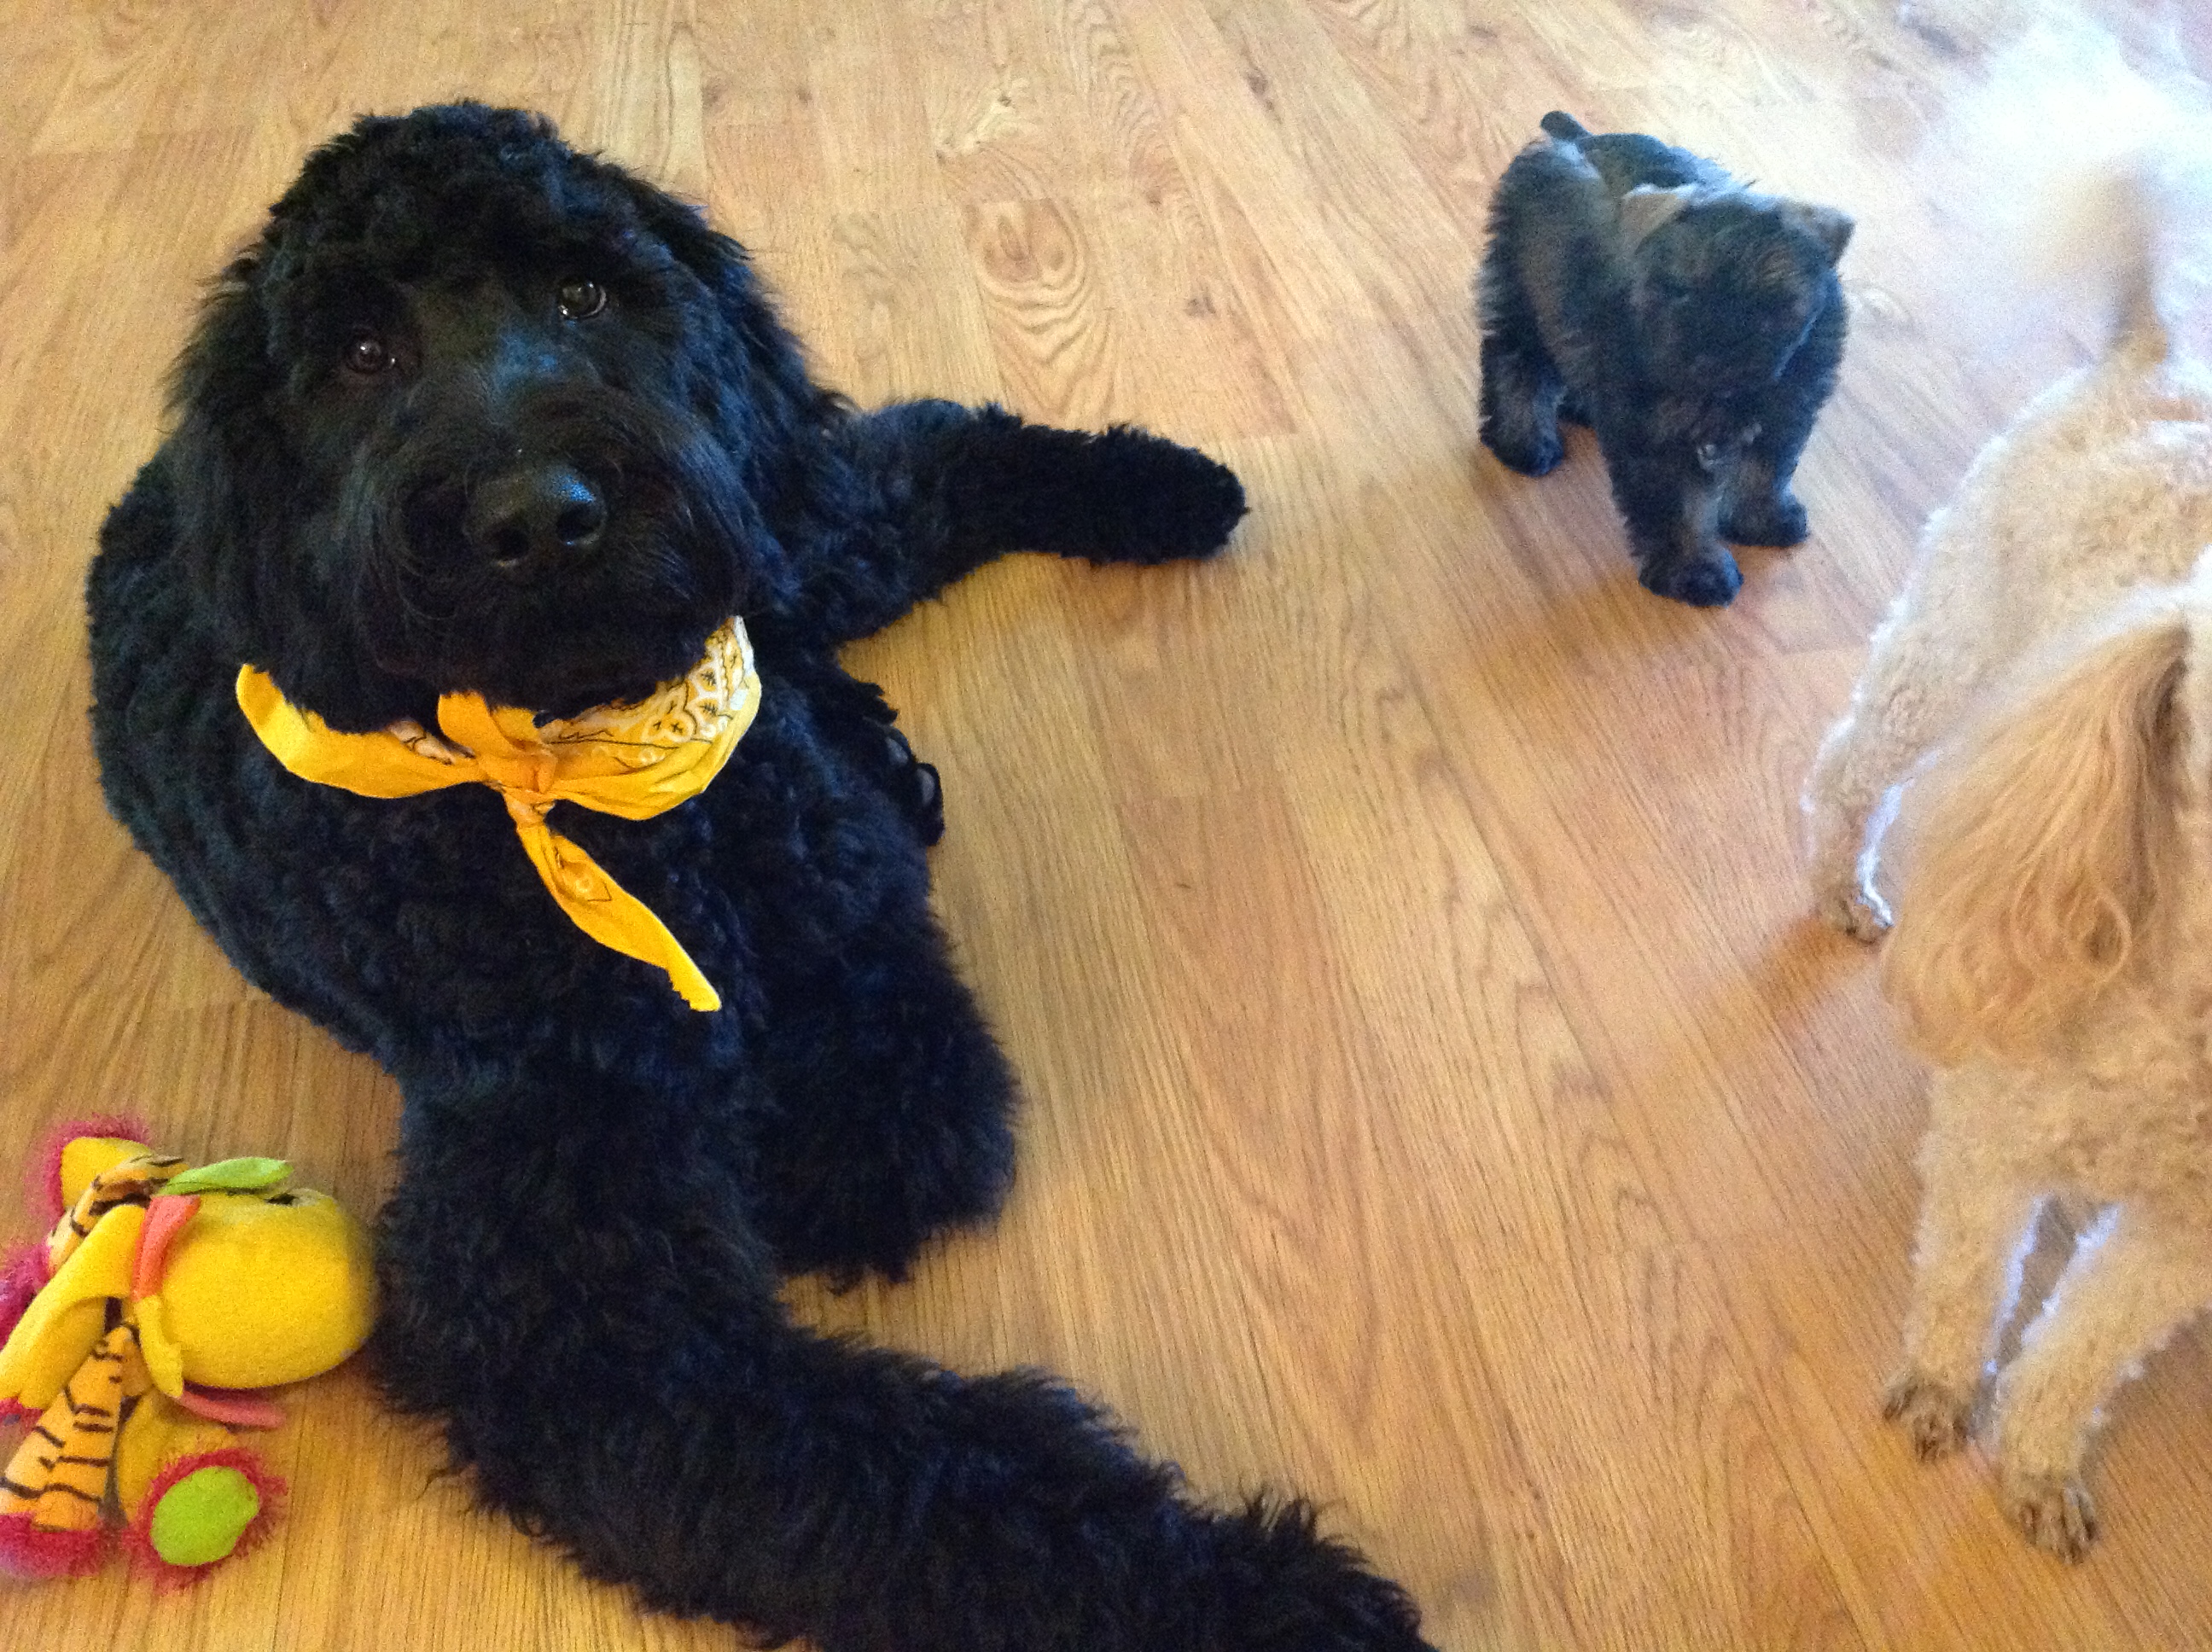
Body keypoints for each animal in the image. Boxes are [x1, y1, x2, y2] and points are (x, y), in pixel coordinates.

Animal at [81, 107, 1433, 1652]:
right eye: (363, 353)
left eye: (584, 292)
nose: (540, 514)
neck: (604, 797)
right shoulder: (575, 1297)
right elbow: (918, 1480)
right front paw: (1255, 1595)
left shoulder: (832, 896)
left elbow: (908, 1078)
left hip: (792, 524)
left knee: (920, 454)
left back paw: (1153, 489)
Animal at [1477, 113, 1858, 610]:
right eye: (1680, 291)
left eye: (1772, 305)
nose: (1714, 360)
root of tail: (1578, 138)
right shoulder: (1657, 435)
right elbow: (1679, 508)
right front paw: (1695, 571)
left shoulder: (1786, 407)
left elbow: (1765, 468)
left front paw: (1761, 519)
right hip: (1526, 294)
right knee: (1516, 362)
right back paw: (1521, 439)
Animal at [1805, 122, 2203, 1556]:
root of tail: (2154, 347)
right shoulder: (1994, 1138)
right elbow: (1970, 1276)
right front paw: (1939, 1390)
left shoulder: (2181, 1238)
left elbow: (2082, 1352)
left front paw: (2034, 1463)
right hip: (1945, 653)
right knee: (1844, 771)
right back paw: (1843, 885)